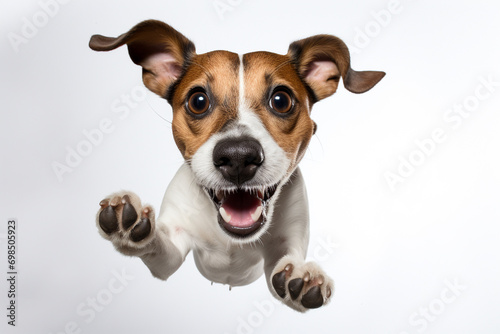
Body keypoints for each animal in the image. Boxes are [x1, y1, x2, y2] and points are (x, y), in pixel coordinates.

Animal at [89, 20, 382, 314]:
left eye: (281, 100)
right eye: (198, 101)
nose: (238, 156)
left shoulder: (284, 248)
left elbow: (286, 264)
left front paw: (304, 276)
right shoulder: (172, 253)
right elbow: (158, 246)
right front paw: (130, 222)